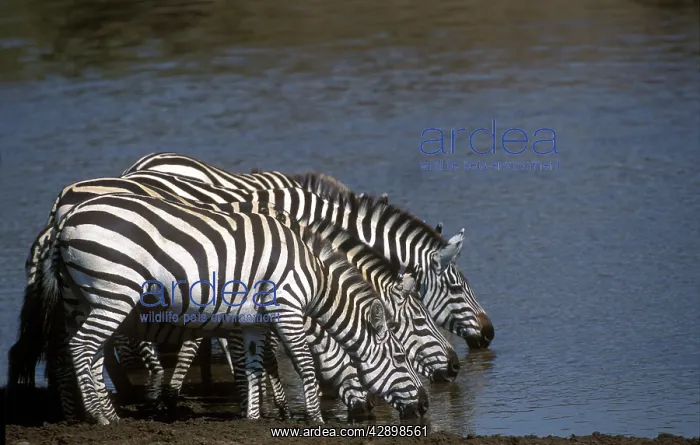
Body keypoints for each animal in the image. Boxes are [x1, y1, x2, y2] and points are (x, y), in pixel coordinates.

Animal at [39, 193, 428, 425]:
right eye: (400, 358)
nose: (425, 405)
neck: (313, 276)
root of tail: (66, 221)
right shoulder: (287, 310)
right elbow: (303, 365)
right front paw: (315, 418)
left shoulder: (254, 322)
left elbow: (254, 367)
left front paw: (253, 418)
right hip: (114, 293)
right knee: (83, 347)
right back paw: (100, 416)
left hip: (80, 297)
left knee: (81, 351)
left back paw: (99, 412)